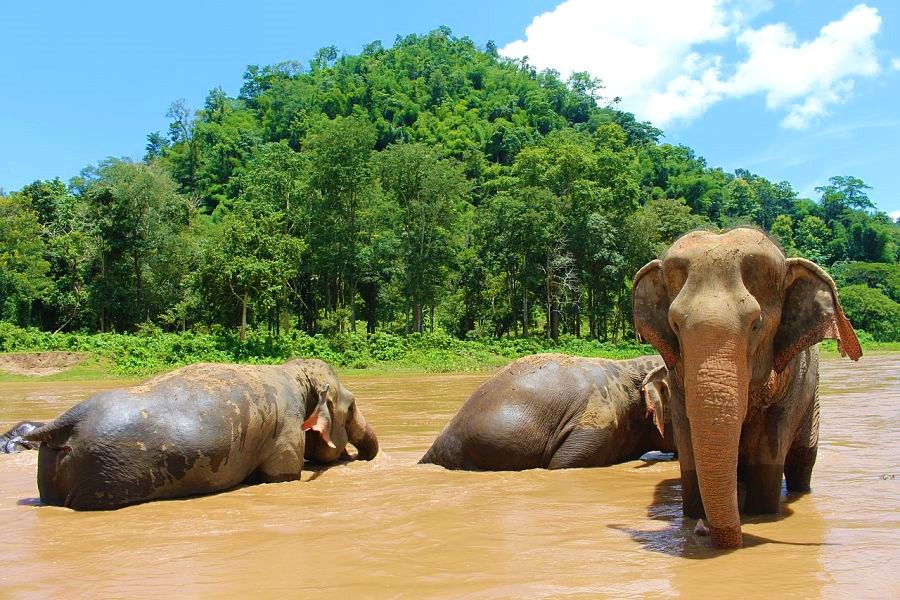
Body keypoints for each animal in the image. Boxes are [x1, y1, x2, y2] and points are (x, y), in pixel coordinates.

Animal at [24, 358, 376, 508]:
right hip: (102, 476)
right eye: (351, 408)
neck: (295, 372)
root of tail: (66, 421)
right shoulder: (286, 431)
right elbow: (281, 476)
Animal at [628, 229, 860, 548]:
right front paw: (693, 516)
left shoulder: (794, 378)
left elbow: (771, 444)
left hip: (812, 402)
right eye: (674, 325)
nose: (701, 530)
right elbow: (688, 440)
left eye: (755, 324)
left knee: (802, 463)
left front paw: (760, 515)